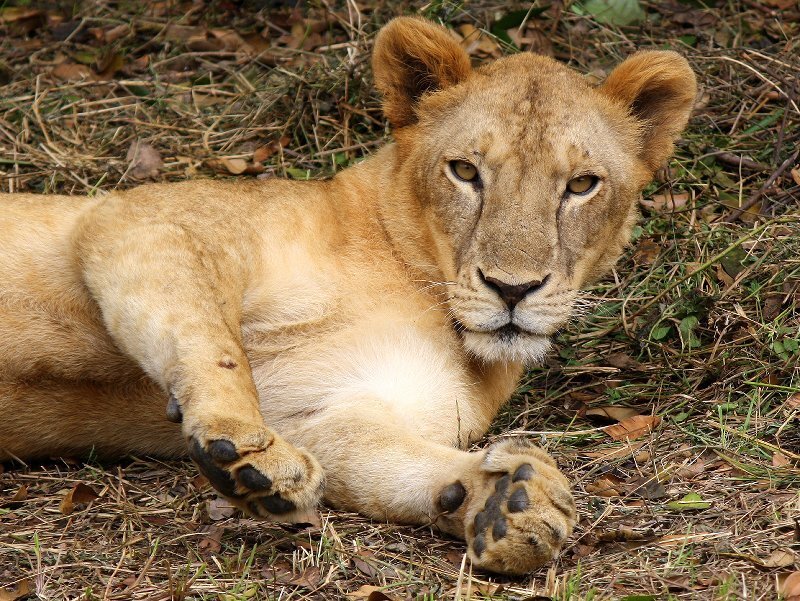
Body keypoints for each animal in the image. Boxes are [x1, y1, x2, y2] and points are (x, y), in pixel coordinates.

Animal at [0, 17, 696, 574]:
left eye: (581, 185)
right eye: (465, 171)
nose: (513, 288)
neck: (419, 286)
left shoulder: (340, 411)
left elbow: (389, 462)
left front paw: (509, 501)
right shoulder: (140, 218)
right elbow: (211, 338)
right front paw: (245, 447)